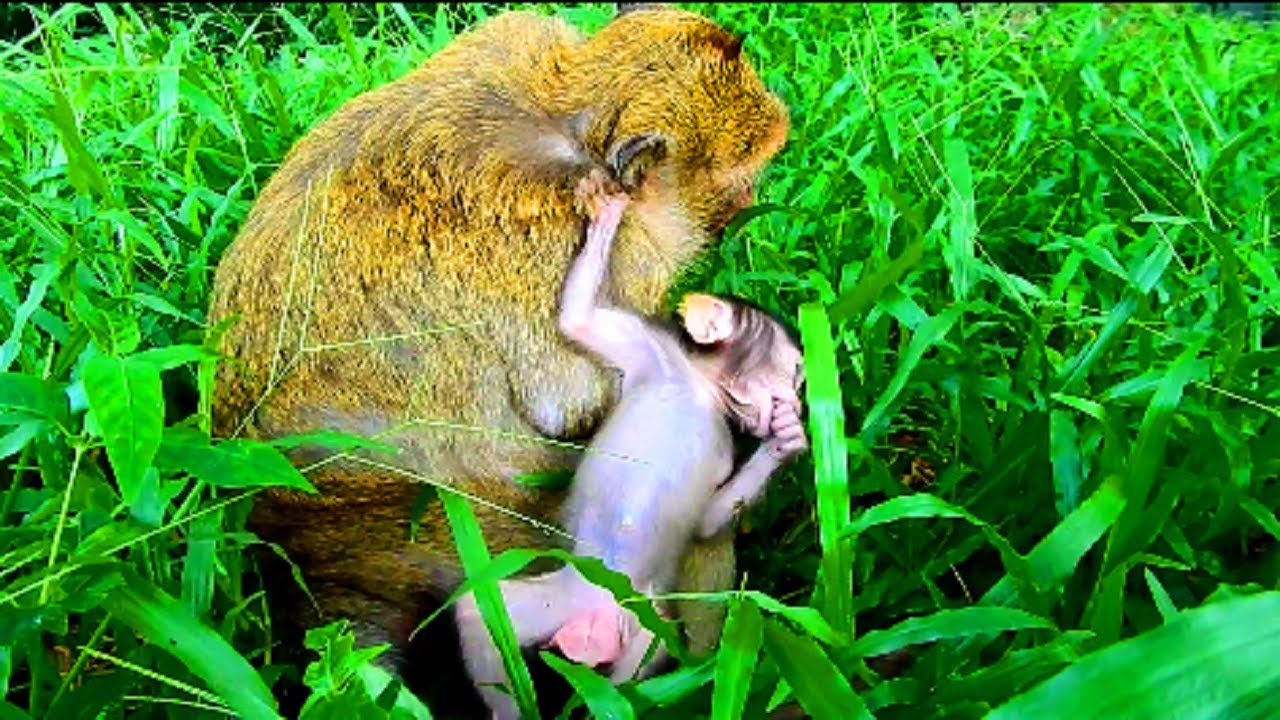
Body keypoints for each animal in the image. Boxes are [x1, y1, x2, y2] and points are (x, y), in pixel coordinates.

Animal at [206, 5, 790, 690]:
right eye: (741, 170)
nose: (750, 200)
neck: (574, 121)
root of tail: (313, 547)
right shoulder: (580, 244)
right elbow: (574, 395)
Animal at [454, 174, 807, 720]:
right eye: (794, 370)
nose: (799, 397)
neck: (698, 388)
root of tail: (592, 623)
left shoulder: (724, 446)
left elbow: (708, 523)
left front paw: (784, 443)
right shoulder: (648, 348)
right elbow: (578, 321)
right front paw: (609, 213)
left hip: (641, 620)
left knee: (644, 662)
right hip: (562, 597)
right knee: (476, 609)